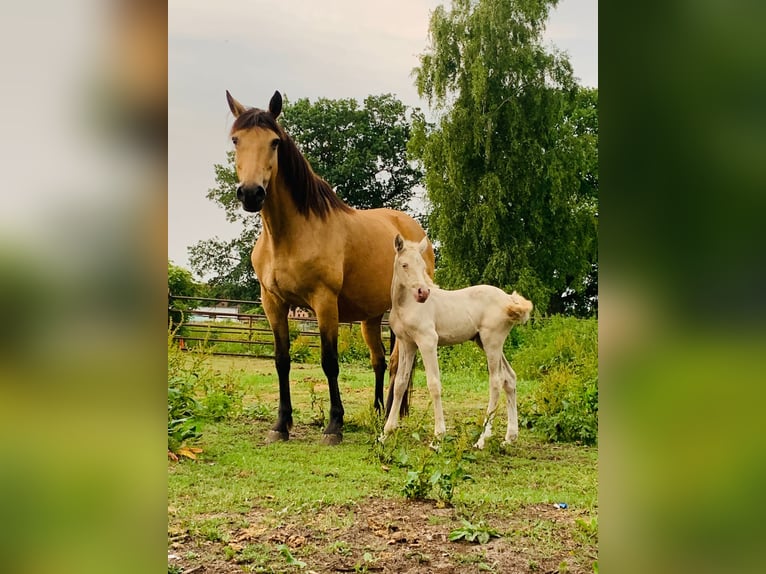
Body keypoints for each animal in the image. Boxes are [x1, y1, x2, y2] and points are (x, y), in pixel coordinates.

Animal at [225, 90, 436, 446]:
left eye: (274, 142)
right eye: (236, 139)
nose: (251, 193)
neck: (290, 234)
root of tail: (415, 231)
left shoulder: (324, 303)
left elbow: (329, 362)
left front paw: (334, 425)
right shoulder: (273, 303)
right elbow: (282, 361)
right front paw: (281, 424)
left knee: (398, 364)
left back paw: (391, 415)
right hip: (371, 317)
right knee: (381, 360)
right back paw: (379, 410)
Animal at [384, 236, 536, 452]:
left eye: (422, 265)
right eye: (404, 264)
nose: (423, 293)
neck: (407, 305)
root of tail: (509, 299)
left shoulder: (428, 341)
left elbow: (434, 384)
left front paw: (438, 438)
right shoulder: (407, 343)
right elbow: (400, 384)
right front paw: (385, 433)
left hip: (492, 341)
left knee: (496, 381)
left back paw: (482, 439)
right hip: (484, 342)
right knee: (510, 378)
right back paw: (510, 437)